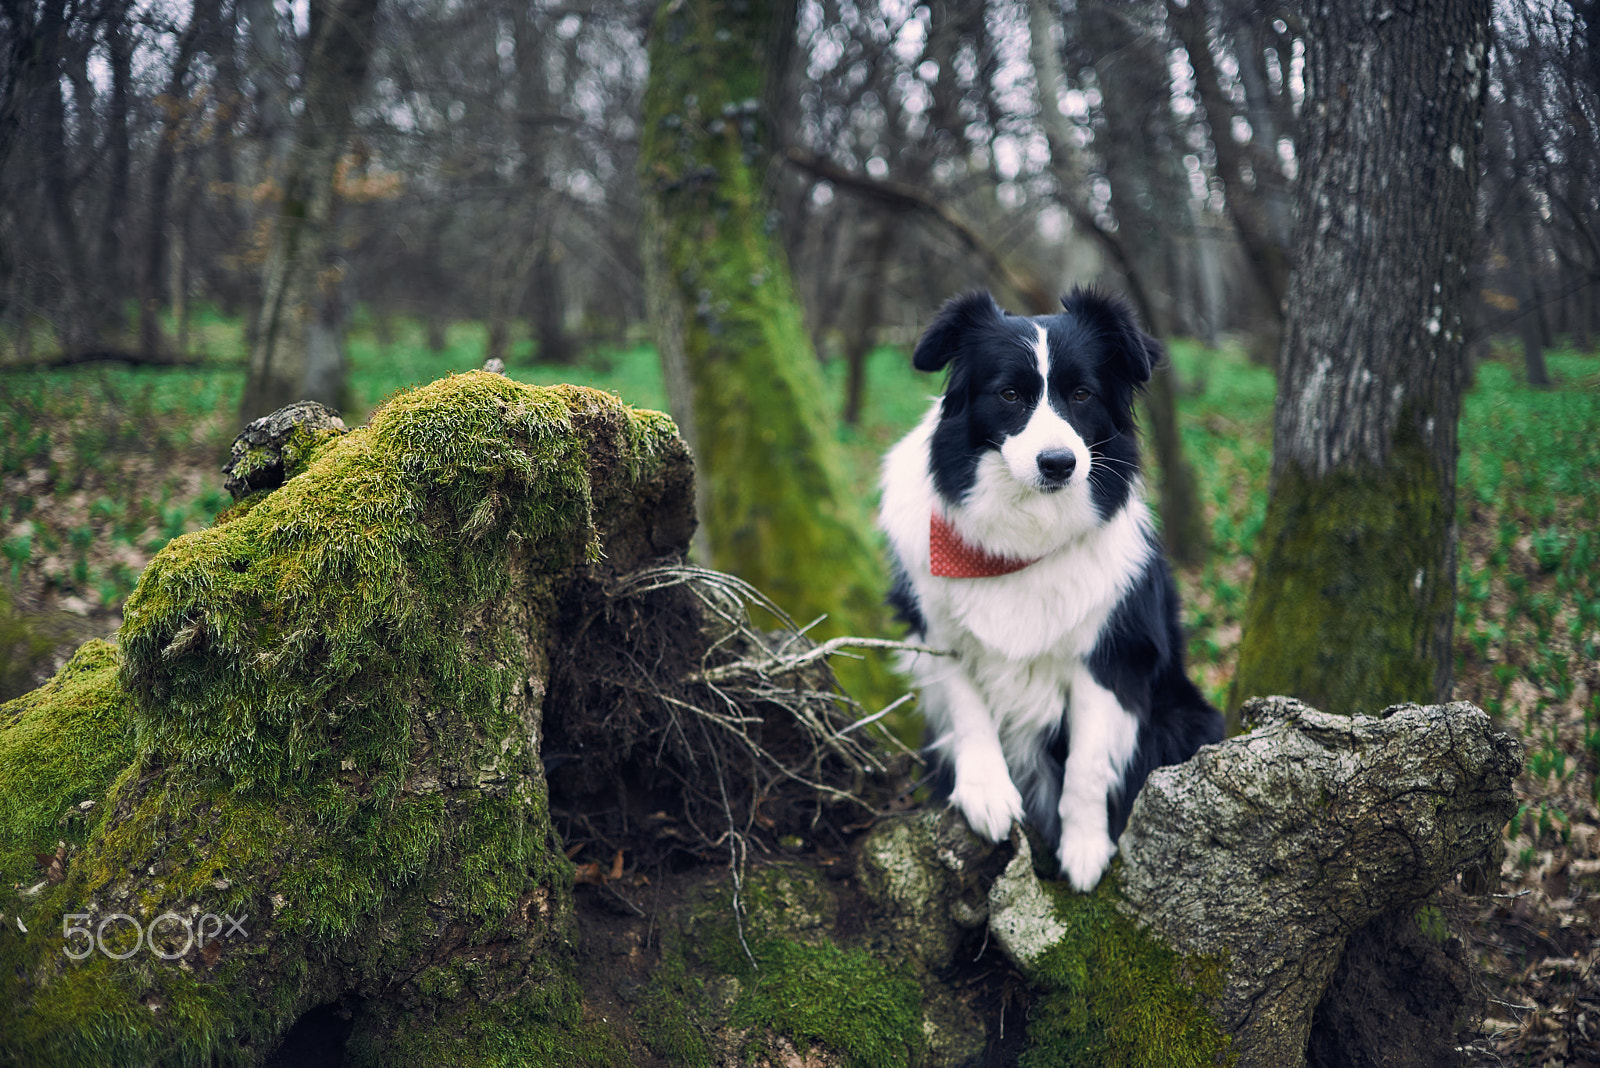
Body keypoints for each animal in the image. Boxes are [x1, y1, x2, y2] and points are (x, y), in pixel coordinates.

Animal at [876, 287, 1222, 888]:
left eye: (1082, 394)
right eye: (1009, 394)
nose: (1058, 463)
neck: (1018, 539)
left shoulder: (1111, 654)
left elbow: (1087, 762)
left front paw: (1084, 849)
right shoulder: (935, 627)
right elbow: (968, 710)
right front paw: (986, 794)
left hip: (1186, 719)